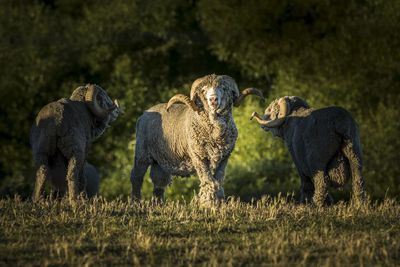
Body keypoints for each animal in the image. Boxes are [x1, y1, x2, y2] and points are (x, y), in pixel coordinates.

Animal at [130, 74, 264, 204]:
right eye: (203, 90)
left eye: (223, 88)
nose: (213, 99)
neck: (215, 134)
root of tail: (144, 114)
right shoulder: (199, 157)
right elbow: (209, 181)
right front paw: (207, 204)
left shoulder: (224, 158)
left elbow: (218, 181)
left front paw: (217, 203)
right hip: (142, 154)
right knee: (136, 177)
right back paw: (136, 203)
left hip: (160, 161)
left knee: (159, 182)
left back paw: (158, 205)